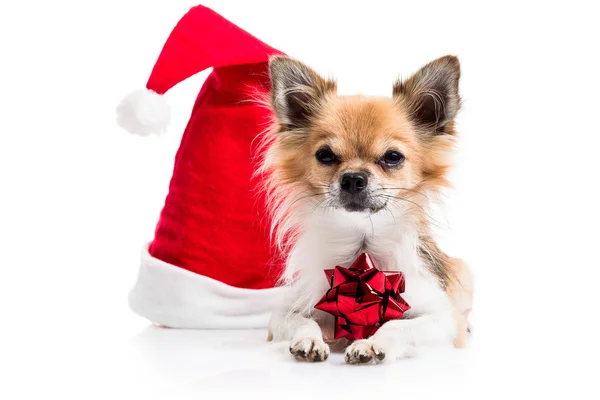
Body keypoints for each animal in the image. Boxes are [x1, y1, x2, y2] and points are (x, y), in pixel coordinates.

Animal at [258, 54, 474, 366]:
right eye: (324, 155)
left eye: (393, 157)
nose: (353, 178)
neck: (362, 252)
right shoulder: (284, 313)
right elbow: (300, 320)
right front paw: (309, 340)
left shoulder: (444, 322)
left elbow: (398, 325)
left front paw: (371, 344)